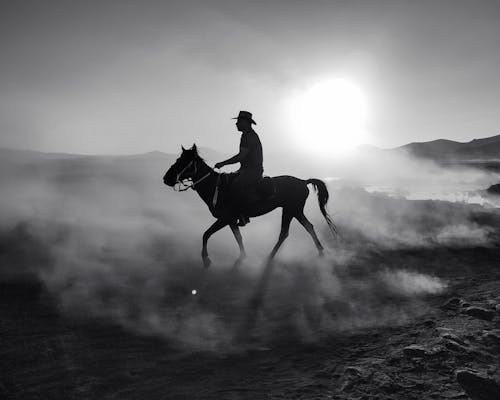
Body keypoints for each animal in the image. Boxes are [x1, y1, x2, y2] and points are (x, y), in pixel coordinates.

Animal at [162, 145, 338, 268]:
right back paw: (320, 252)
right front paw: (242, 257)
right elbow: (237, 237)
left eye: (181, 161)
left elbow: (206, 234)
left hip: (291, 210)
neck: (215, 187)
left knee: (287, 232)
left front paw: (206, 259)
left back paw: (271, 257)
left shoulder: (225, 218)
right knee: (306, 227)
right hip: (294, 210)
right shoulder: (231, 220)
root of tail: (303, 181)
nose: (166, 178)